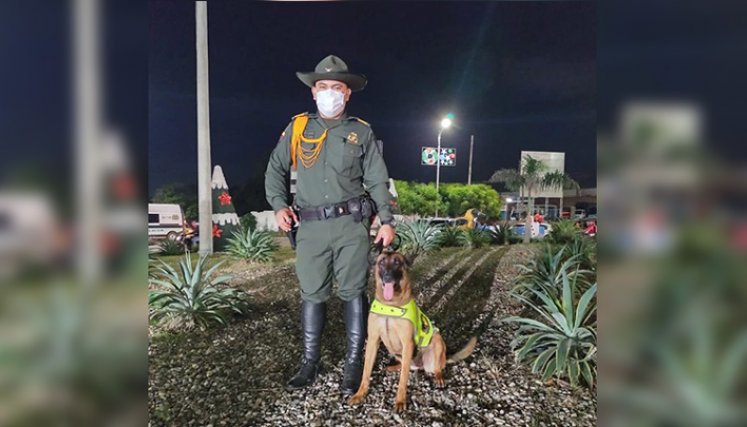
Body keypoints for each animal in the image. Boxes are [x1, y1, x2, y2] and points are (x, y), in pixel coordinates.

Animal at [348, 252, 476, 412]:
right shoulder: (372, 341)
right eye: (381, 262)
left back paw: (439, 377)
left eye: (397, 262)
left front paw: (400, 401)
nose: (388, 277)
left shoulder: (407, 343)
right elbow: (366, 372)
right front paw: (360, 394)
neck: (390, 305)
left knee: (434, 367)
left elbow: (403, 379)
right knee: (405, 364)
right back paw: (393, 367)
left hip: (437, 340)